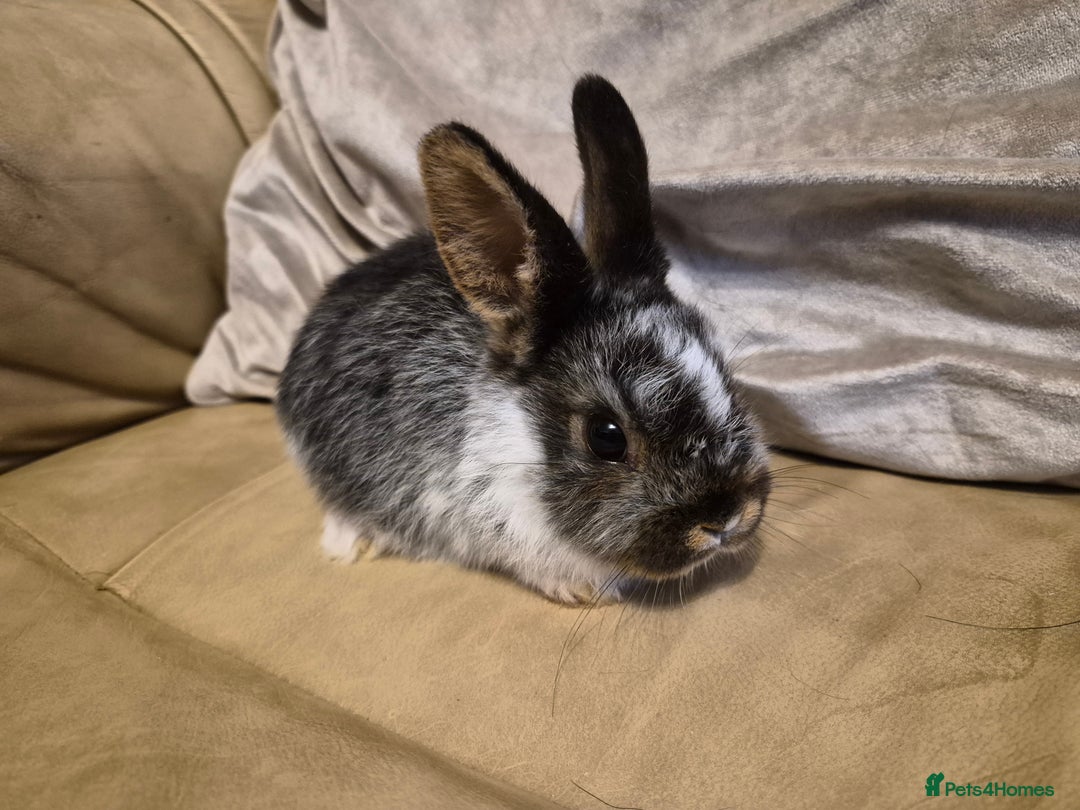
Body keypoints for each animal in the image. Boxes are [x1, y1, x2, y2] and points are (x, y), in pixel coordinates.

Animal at [276, 75, 771, 605]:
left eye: (727, 379)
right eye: (606, 437)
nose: (725, 518)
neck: (511, 439)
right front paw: (582, 591)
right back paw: (347, 541)